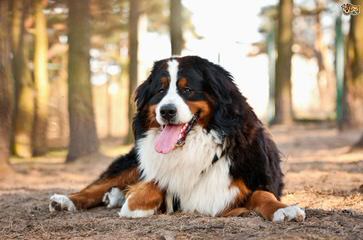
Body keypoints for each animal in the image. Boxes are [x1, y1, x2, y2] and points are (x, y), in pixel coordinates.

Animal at [49, 55, 306, 222]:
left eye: (187, 89)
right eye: (160, 90)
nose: (167, 111)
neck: (197, 147)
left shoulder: (257, 177)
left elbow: (264, 194)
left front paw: (284, 209)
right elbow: (154, 185)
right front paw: (135, 201)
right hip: (131, 161)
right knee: (98, 185)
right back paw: (66, 200)